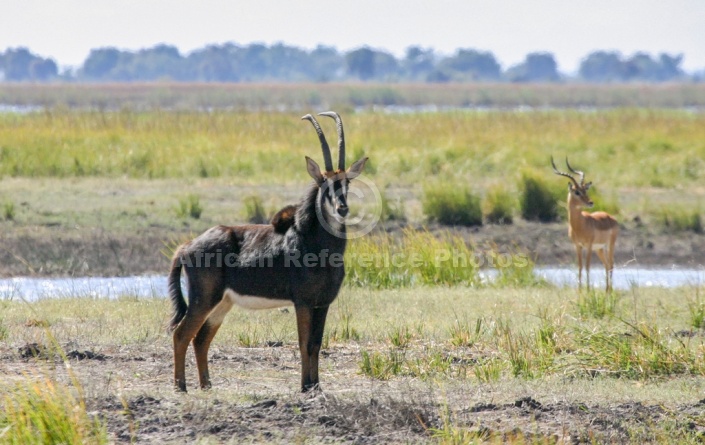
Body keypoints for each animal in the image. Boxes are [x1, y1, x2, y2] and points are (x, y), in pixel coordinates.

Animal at [169, 112, 368, 392]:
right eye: (324, 183)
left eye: (347, 182)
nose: (342, 208)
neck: (315, 244)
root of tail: (186, 246)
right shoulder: (303, 302)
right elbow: (305, 343)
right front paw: (305, 386)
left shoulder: (322, 303)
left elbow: (317, 344)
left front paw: (316, 386)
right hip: (204, 299)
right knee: (181, 334)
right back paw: (181, 387)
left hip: (222, 303)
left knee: (201, 338)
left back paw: (206, 385)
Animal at [552, 156, 616, 292]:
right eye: (577, 192)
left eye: (585, 190)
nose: (591, 202)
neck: (579, 225)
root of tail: (610, 217)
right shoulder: (578, 246)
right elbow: (580, 266)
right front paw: (580, 289)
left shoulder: (589, 246)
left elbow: (587, 266)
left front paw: (588, 289)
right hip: (600, 249)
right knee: (606, 264)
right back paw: (606, 290)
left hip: (609, 246)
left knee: (611, 264)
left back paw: (610, 290)